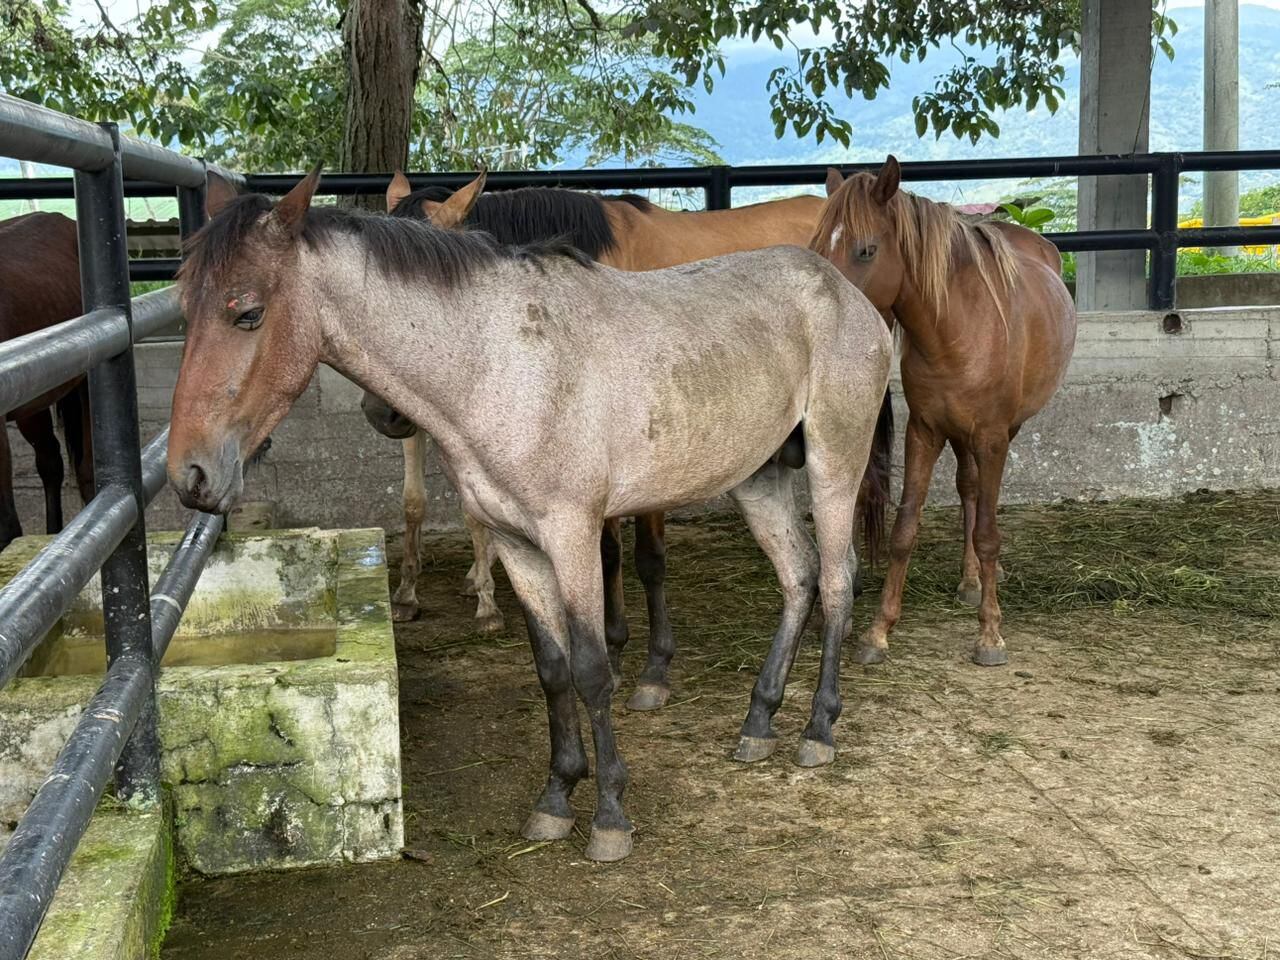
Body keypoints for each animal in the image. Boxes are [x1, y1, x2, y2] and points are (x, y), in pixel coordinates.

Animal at [815, 157, 1077, 666]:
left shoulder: (992, 436)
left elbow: (990, 533)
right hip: (958, 435)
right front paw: (878, 632)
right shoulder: (925, 431)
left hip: (1002, 432)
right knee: (969, 488)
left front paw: (990, 634)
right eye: (817, 246)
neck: (956, 328)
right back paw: (970, 579)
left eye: (866, 250)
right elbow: (904, 529)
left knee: (980, 500)